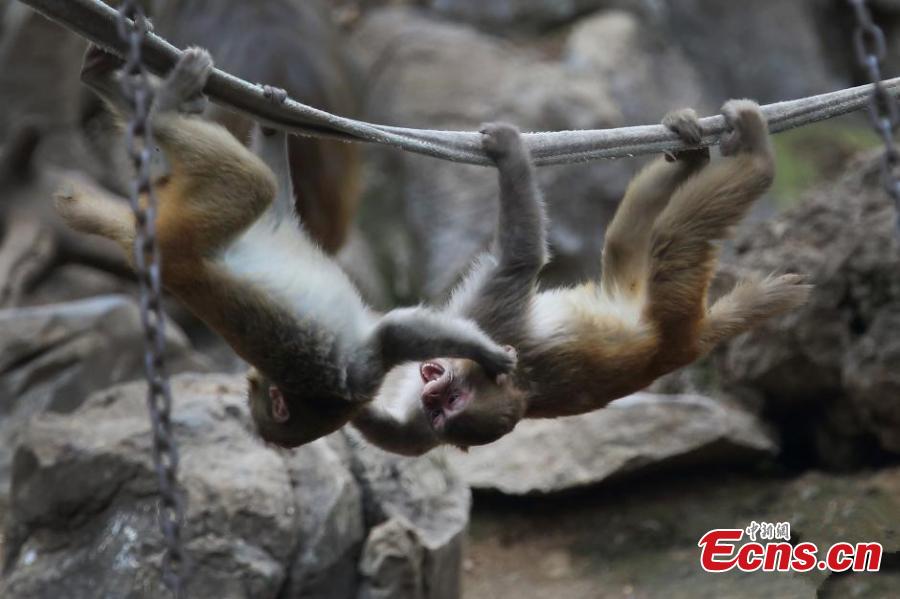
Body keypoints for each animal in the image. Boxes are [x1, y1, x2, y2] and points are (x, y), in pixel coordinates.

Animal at [54, 44, 517, 448]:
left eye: (258, 391)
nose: (254, 377)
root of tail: (160, 257)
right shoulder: (359, 376)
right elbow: (395, 334)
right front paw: (487, 352)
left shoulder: (356, 376)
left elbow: (392, 333)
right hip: (188, 229)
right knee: (253, 184)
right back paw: (145, 93)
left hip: (187, 227)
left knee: (254, 183)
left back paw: (150, 99)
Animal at [350, 102, 811, 456]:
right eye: (438, 409)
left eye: (452, 401)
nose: (431, 395)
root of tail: (689, 342)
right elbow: (404, 439)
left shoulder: (491, 319)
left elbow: (520, 259)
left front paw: (508, 149)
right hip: (634, 289)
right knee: (624, 241)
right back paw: (692, 152)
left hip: (673, 306)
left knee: (674, 236)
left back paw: (757, 159)